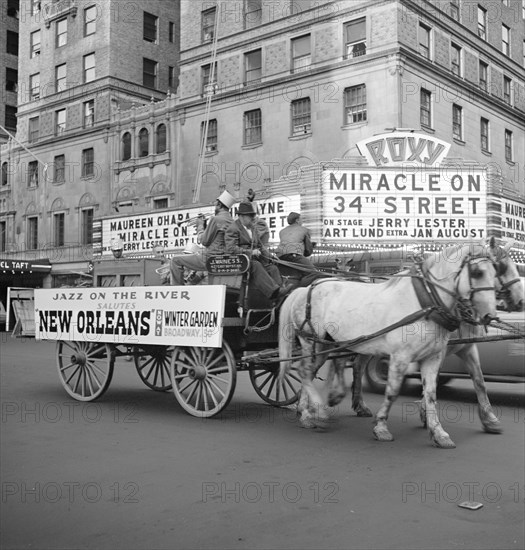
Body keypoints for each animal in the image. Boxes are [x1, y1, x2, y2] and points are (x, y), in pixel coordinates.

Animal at [278, 240, 500, 448]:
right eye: (477, 272)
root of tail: (304, 289)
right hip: (311, 341)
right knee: (306, 371)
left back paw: (308, 411)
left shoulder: (433, 357)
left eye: (495, 272)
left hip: (326, 345)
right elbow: (392, 392)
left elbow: (432, 393)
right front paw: (381, 427)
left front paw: (439, 433)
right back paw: (314, 413)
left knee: (310, 372)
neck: (425, 304)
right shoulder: (400, 357)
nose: (490, 316)